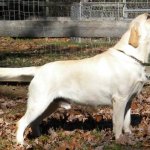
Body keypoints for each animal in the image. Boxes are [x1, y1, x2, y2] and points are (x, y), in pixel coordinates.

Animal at [0, 13, 150, 145]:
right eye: (148, 17)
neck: (132, 56)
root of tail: (39, 69)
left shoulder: (129, 100)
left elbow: (127, 122)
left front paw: (129, 136)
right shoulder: (119, 99)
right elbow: (118, 123)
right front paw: (119, 140)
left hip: (50, 105)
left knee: (34, 122)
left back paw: (38, 137)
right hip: (38, 103)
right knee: (21, 122)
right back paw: (21, 143)